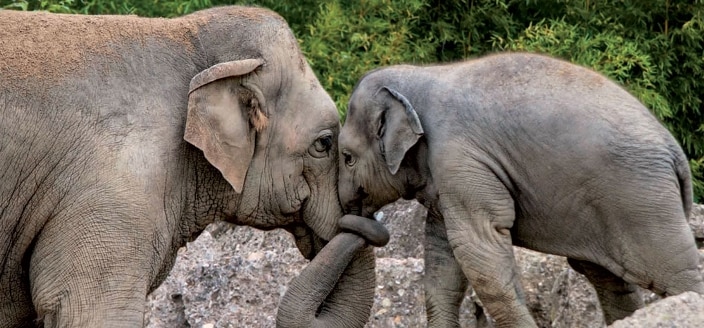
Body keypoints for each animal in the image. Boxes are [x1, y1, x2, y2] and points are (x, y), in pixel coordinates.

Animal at [336, 52, 704, 326]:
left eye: (347, 157)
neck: (416, 78)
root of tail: (675, 150)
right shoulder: (448, 177)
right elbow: (443, 259)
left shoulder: (460, 158)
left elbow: (479, 248)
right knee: (608, 279)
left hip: (642, 201)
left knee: (675, 272)